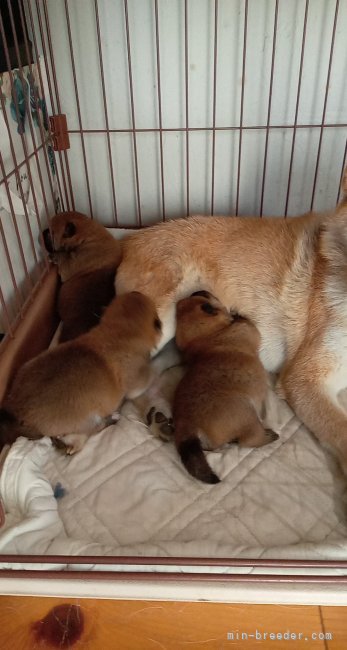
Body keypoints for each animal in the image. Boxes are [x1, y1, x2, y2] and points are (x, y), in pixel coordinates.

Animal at [0, 292, 162, 454]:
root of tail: (18, 411)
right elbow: (148, 375)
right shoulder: (135, 381)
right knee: (96, 428)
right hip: (92, 417)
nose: (137, 292)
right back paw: (113, 417)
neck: (119, 332)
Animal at [173, 292, 278, 480]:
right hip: (247, 414)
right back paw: (269, 436)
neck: (206, 337)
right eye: (205, 302)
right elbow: (248, 324)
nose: (199, 290)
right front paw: (237, 315)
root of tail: (186, 427)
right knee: (249, 441)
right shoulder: (247, 330)